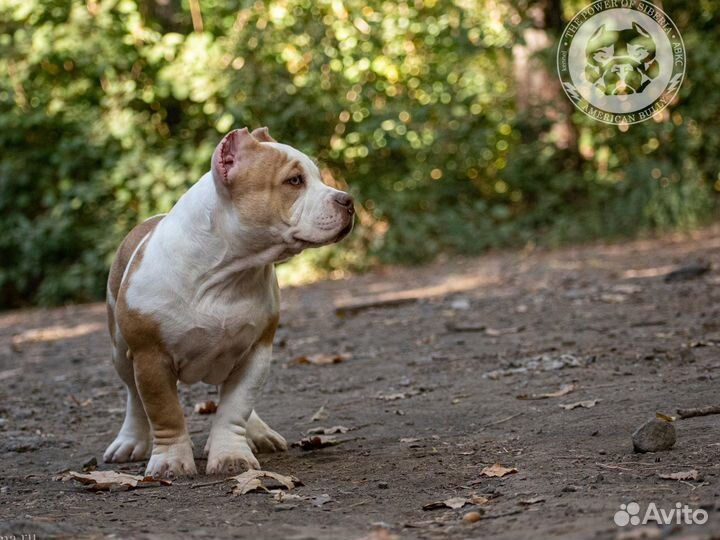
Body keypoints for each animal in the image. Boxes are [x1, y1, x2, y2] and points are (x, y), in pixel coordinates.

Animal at [103, 129, 354, 478]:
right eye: (294, 181)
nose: (348, 200)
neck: (227, 272)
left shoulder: (256, 353)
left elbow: (235, 408)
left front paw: (231, 455)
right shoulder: (151, 357)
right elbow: (165, 412)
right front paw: (170, 461)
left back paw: (258, 433)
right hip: (121, 352)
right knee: (134, 398)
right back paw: (129, 442)